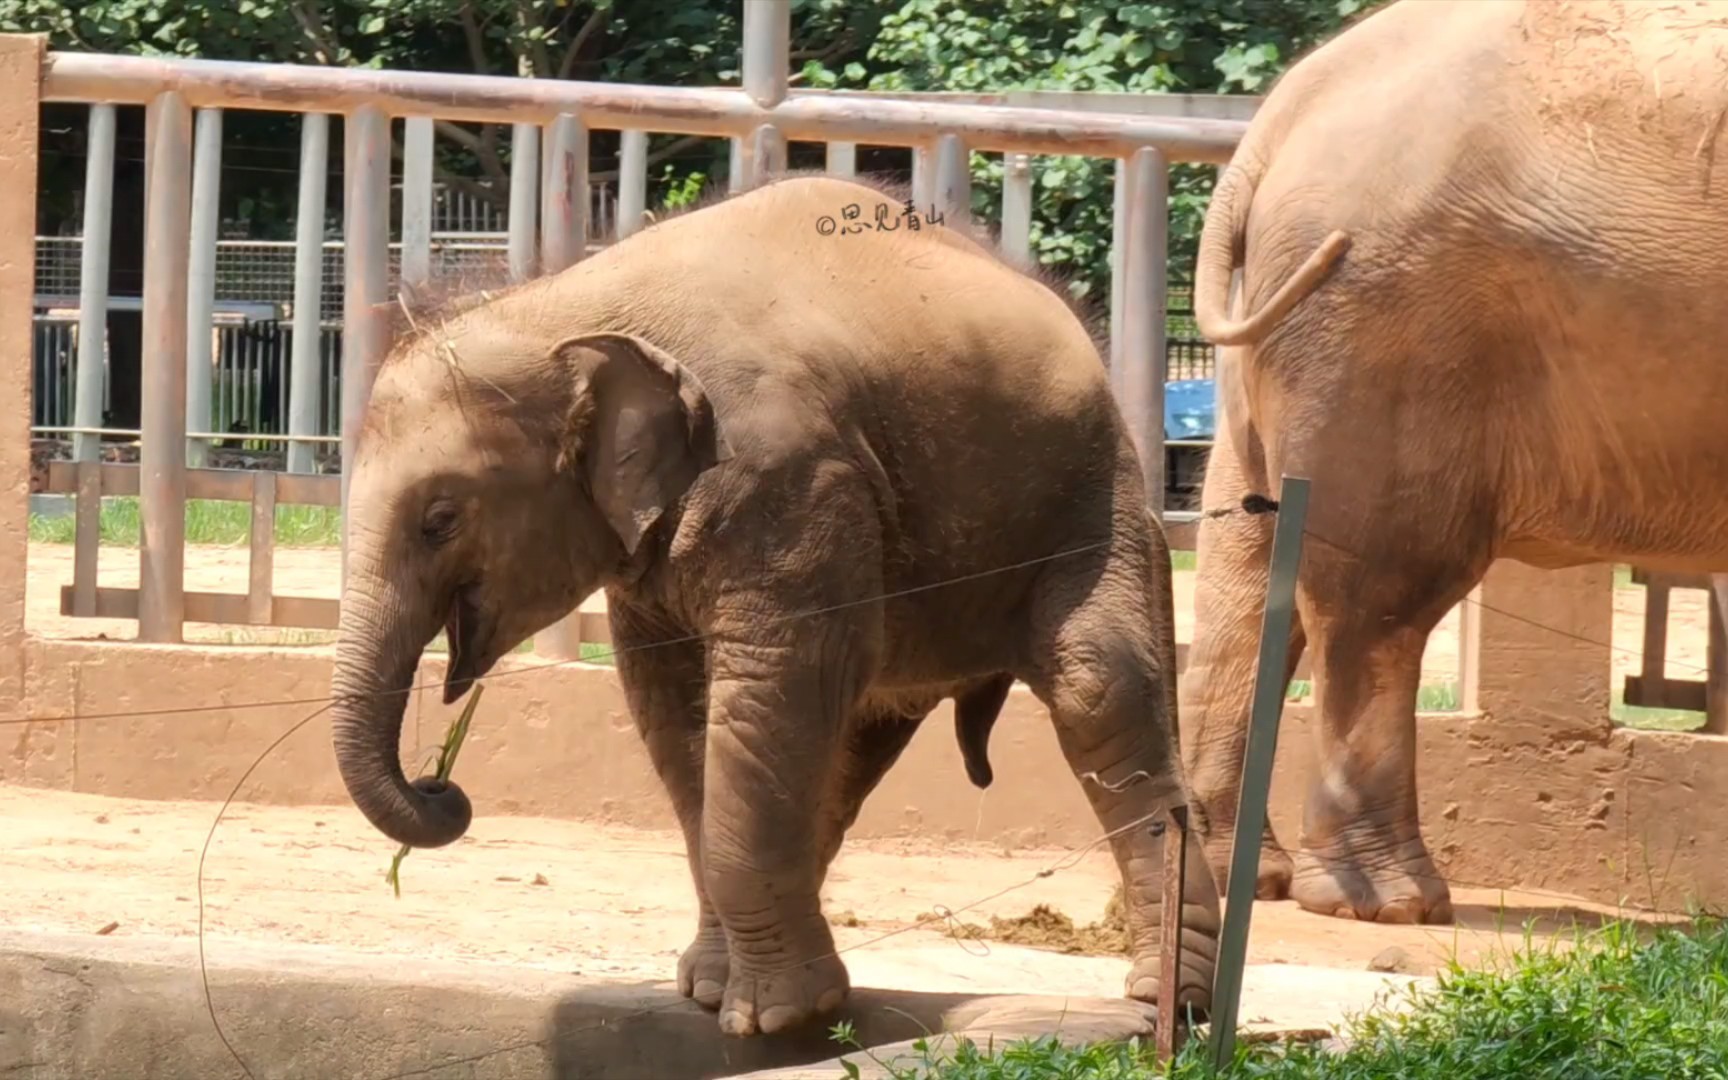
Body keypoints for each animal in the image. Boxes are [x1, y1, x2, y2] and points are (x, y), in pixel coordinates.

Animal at [330, 174, 1223, 1036]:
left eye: (440, 520)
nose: (443, 786)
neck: (572, 303)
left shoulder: (788, 481)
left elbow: (768, 684)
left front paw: (774, 1019)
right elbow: (677, 709)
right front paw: (716, 993)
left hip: (1092, 499)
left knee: (1098, 687)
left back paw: (1167, 1007)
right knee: (851, 744)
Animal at [1181, 0, 1728, 926]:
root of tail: (1284, 113)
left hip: (1290, 324)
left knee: (1247, 567)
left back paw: (1229, 875)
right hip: (1385, 318)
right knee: (1377, 598)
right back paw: (1385, 902)